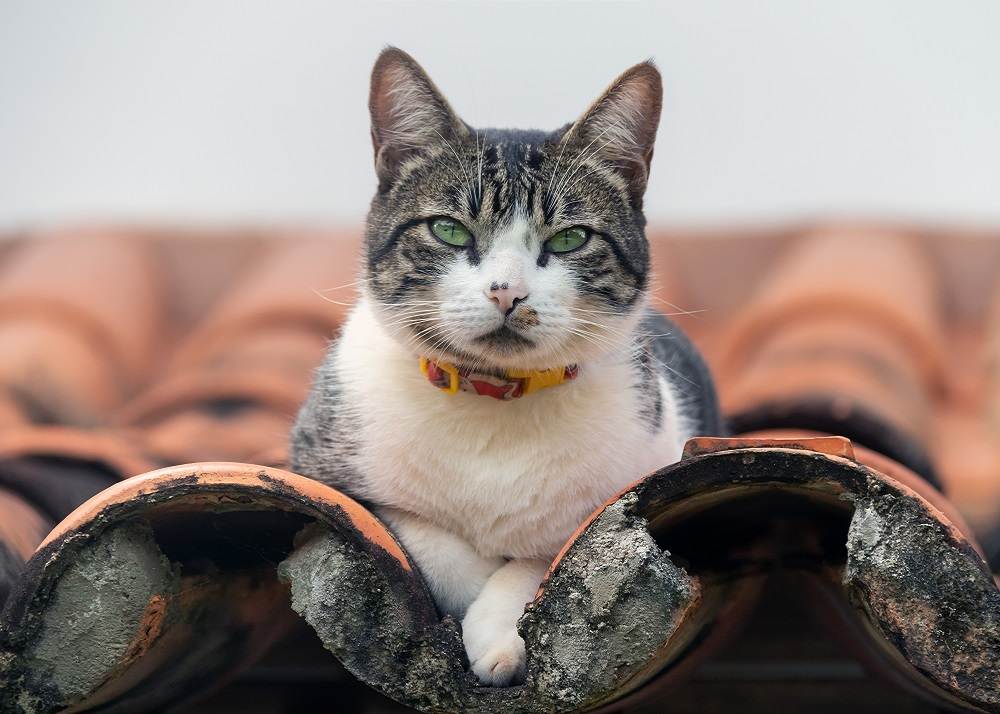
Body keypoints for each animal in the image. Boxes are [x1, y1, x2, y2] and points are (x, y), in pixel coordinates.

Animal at [290, 47, 720, 688]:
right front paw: (469, 599)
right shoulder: (323, 471)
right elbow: (422, 535)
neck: (492, 399)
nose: (507, 292)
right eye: (448, 229)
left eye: (569, 239)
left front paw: (495, 634)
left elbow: (543, 556)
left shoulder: (630, 485)